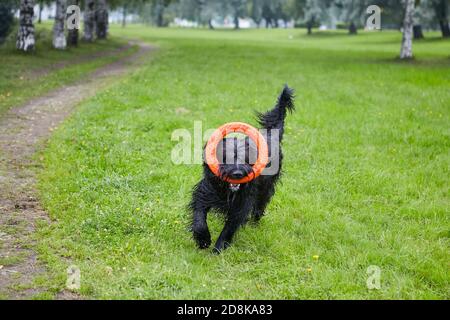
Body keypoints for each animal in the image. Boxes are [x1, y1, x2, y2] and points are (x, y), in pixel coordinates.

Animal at [190, 85, 296, 252]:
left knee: (260, 206)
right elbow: (199, 215)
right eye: (226, 158)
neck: (227, 191)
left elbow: (230, 227)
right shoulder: (205, 191)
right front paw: (203, 239)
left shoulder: (242, 203)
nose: (238, 173)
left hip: (265, 189)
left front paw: (218, 248)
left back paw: (254, 223)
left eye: (246, 159)